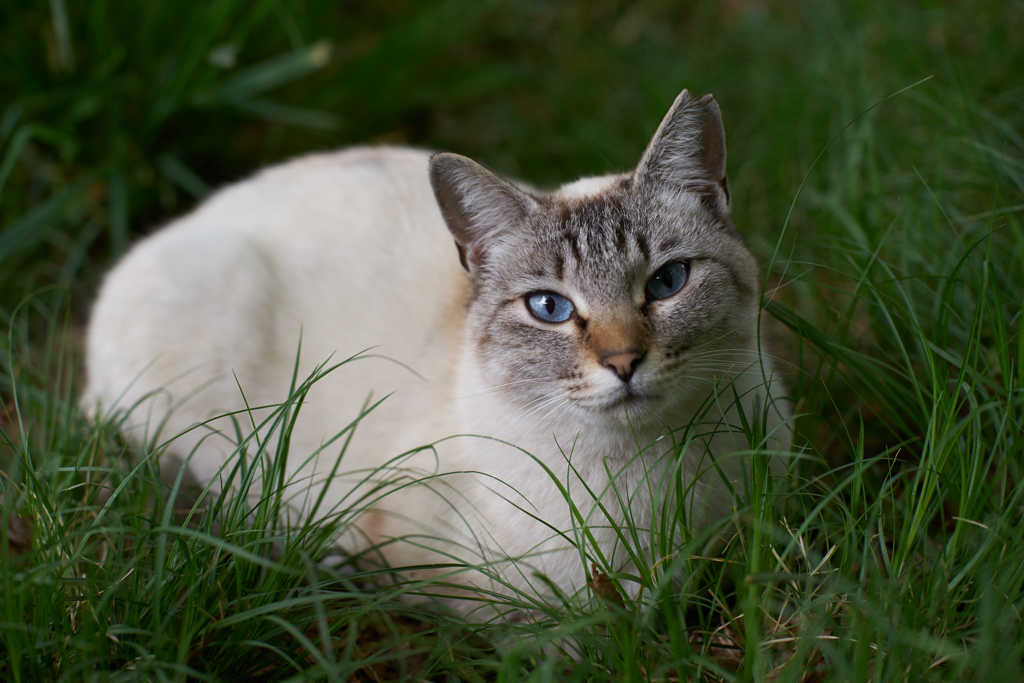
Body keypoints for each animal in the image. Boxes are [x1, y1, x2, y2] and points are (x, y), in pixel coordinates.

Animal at [86, 88, 790, 610]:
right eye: (550, 308)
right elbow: (554, 627)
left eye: (667, 282)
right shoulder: (416, 554)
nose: (623, 363)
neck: (646, 479)